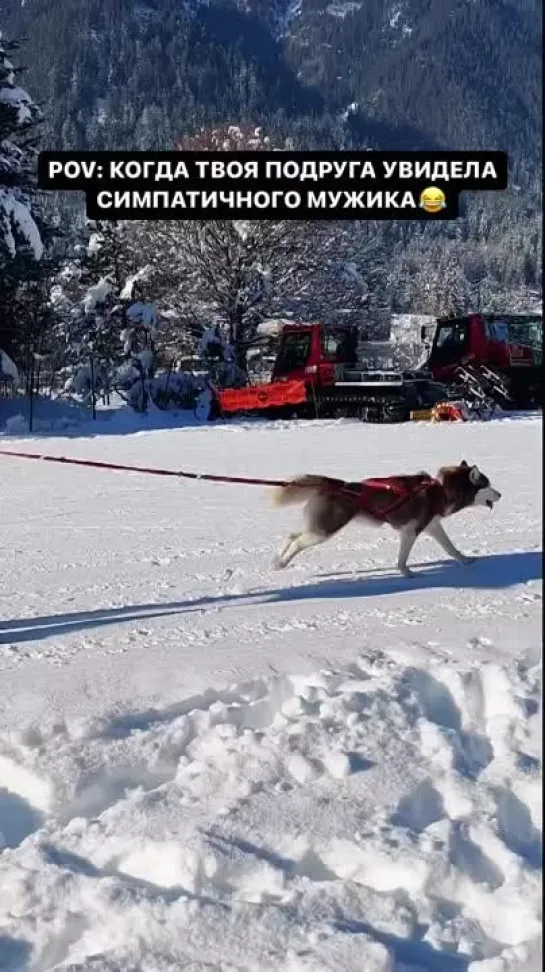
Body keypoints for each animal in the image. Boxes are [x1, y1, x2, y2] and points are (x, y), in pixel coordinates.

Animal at [272, 458, 502, 572]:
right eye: (487, 484)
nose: (501, 494)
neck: (442, 489)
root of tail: (334, 484)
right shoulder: (410, 531)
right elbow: (403, 558)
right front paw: (405, 572)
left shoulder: (432, 526)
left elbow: (450, 547)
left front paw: (465, 560)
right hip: (325, 530)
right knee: (297, 542)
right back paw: (282, 563)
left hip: (317, 526)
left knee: (291, 535)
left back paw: (276, 560)